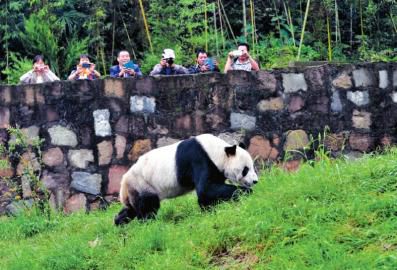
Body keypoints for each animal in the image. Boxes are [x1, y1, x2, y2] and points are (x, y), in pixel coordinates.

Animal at [113, 133, 258, 226]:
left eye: (252, 166)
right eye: (245, 169)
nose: (255, 181)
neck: (217, 151)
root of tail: (123, 183)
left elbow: (210, 191)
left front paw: (210, 210)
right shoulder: (199, 159)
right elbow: (206, 189)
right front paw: (245, 192)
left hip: (135, 189)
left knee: (131, 208)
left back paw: (119, 222)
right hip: (142, 183)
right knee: (148, 206)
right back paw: (148, 225)